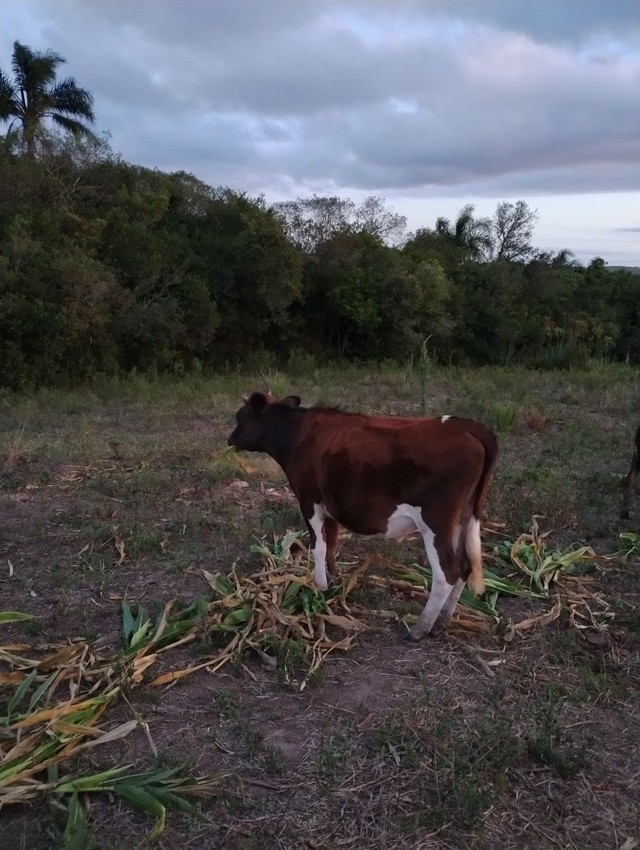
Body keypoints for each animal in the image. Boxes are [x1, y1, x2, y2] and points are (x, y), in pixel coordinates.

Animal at [228, 390, 498, 636]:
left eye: (240, 417)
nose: (230, 439)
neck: (299, 434)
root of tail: (469, 426)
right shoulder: (331, 506)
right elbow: (332, 544)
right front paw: (333, 582)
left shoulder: (309, 501)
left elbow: (319, 547)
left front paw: (319, 586)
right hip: (462, 519)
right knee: (465, 566)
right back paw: (441, 622)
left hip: (436, 521)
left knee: (447, 573)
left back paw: (420, 628)